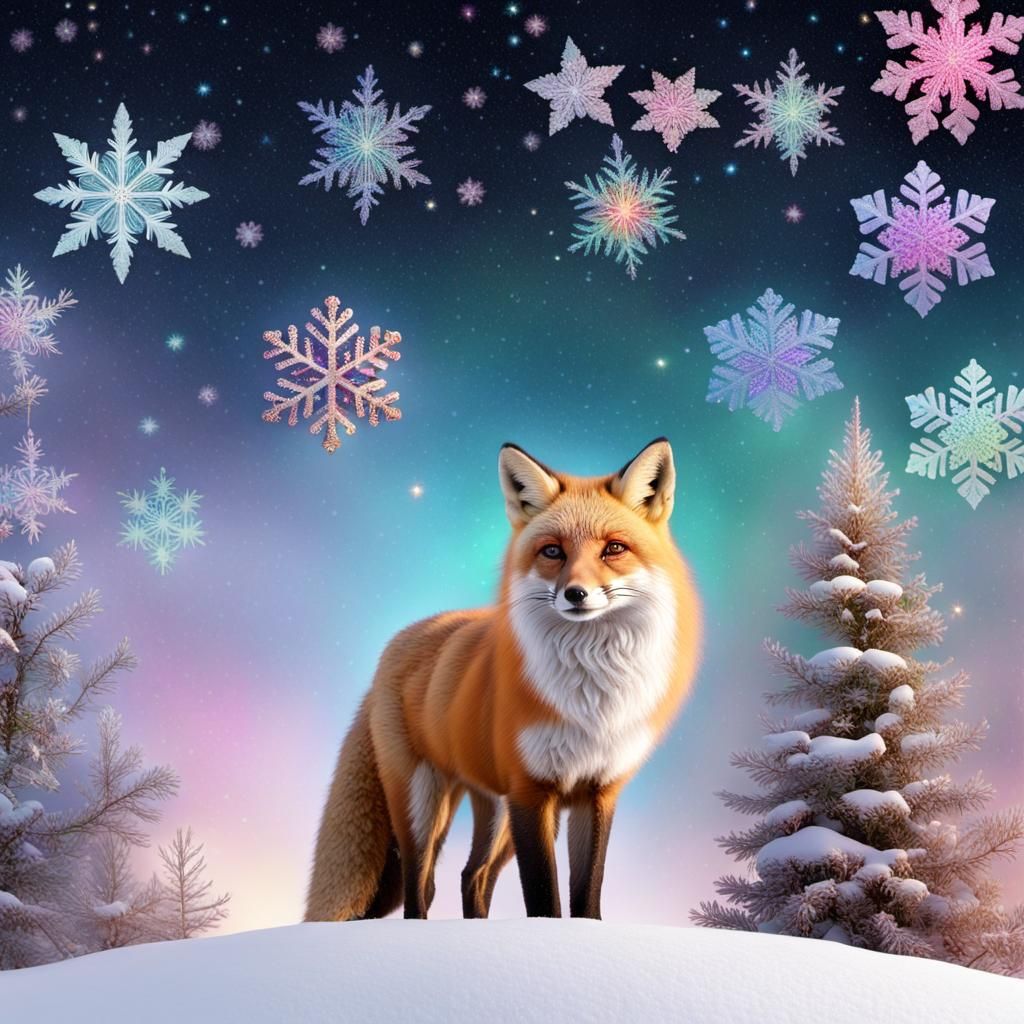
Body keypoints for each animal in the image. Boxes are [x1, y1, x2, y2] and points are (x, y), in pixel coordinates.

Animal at [304, 438, 702, 922]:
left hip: (495, 810)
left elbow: (586, 895)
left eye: (613, 548)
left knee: (470, 875)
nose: (576, 594)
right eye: (553, 551)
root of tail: (399, 641)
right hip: (423, 803)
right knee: (422, 884)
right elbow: (544, 897)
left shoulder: (596, 793)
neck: (590, 695)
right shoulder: (531, 790)